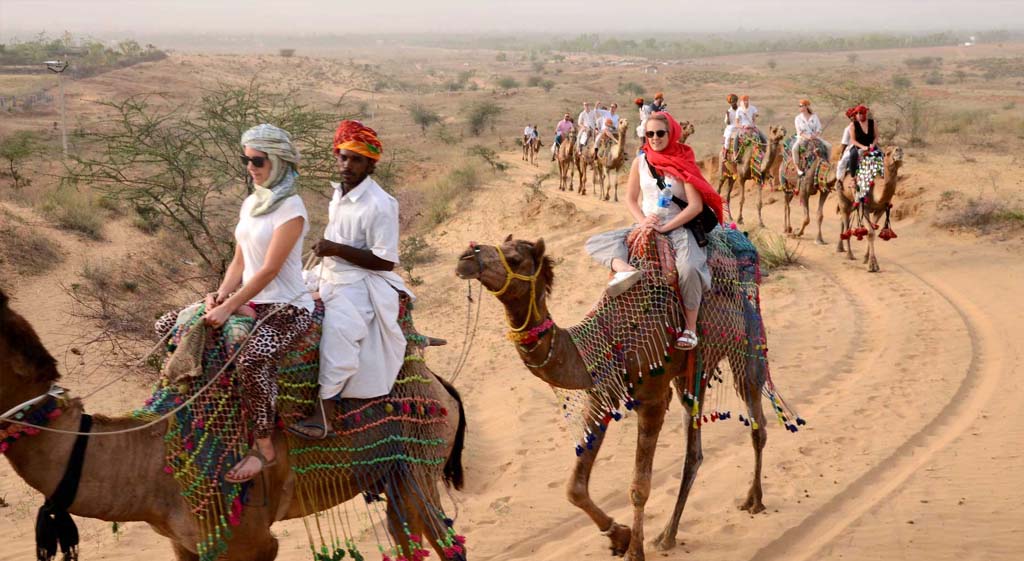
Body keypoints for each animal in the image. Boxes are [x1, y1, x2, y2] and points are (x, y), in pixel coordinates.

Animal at [0, 290, 468, 561]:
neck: (152, 463)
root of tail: (439, 384)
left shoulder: (247, 541)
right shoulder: (184, 545)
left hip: (419, 460)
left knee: (443, 539)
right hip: (389, 473)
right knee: (407, 536)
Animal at [456, 232, 798, 561]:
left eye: (514, 258)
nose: (465, 256)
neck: (604, 337)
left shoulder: (653, 398)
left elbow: (639, 486)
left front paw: (634, 551)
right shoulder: (602, 394)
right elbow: (574, 488)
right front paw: (619, 536)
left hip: (746, 338)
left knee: (757, 423)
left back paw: (754, 500)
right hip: (693, 370)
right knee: (695, 449)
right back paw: (668, 535)